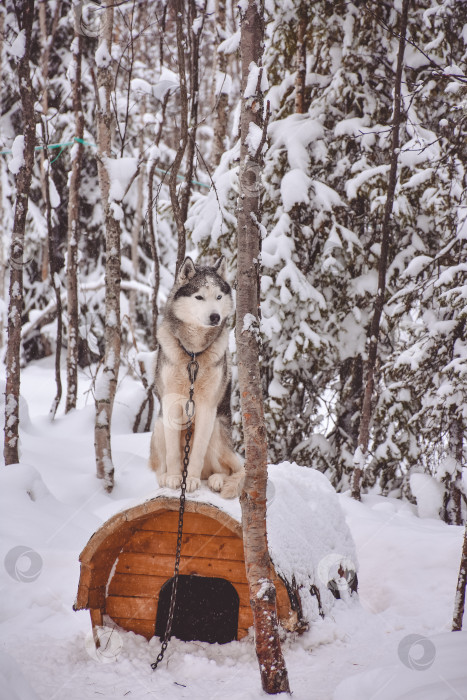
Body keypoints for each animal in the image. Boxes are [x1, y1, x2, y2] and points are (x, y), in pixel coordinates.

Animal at [150, 258, 245, 498]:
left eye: (218, 297)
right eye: (199, 297)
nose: (215, 317)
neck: (193, 354)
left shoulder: (207, 408)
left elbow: (197, 454)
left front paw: (190, 479)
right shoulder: (171, 405)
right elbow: (174, 454)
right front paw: (175, 478)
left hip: (218, 430)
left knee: (230, 470)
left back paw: (216, 480)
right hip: (159, 425)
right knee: (160, 465)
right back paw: (165, 477)